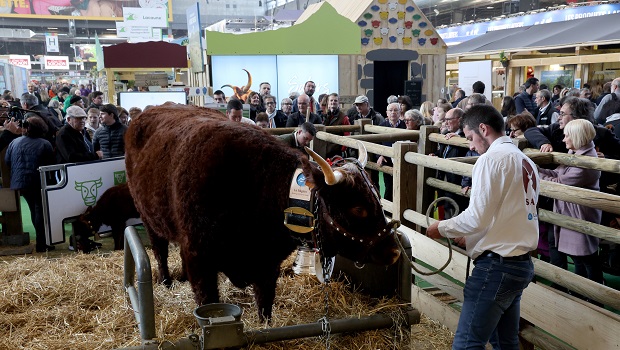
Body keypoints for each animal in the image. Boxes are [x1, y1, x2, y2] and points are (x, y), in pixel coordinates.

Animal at [124, 104, 402, 320]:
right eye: (358, 208)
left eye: (378, 198)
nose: (395, 251)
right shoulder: (199, 259)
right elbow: (208, 303)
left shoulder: (267, 263)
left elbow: (265, 306)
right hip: (149, 218)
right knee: (159, 251)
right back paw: (166, 281)